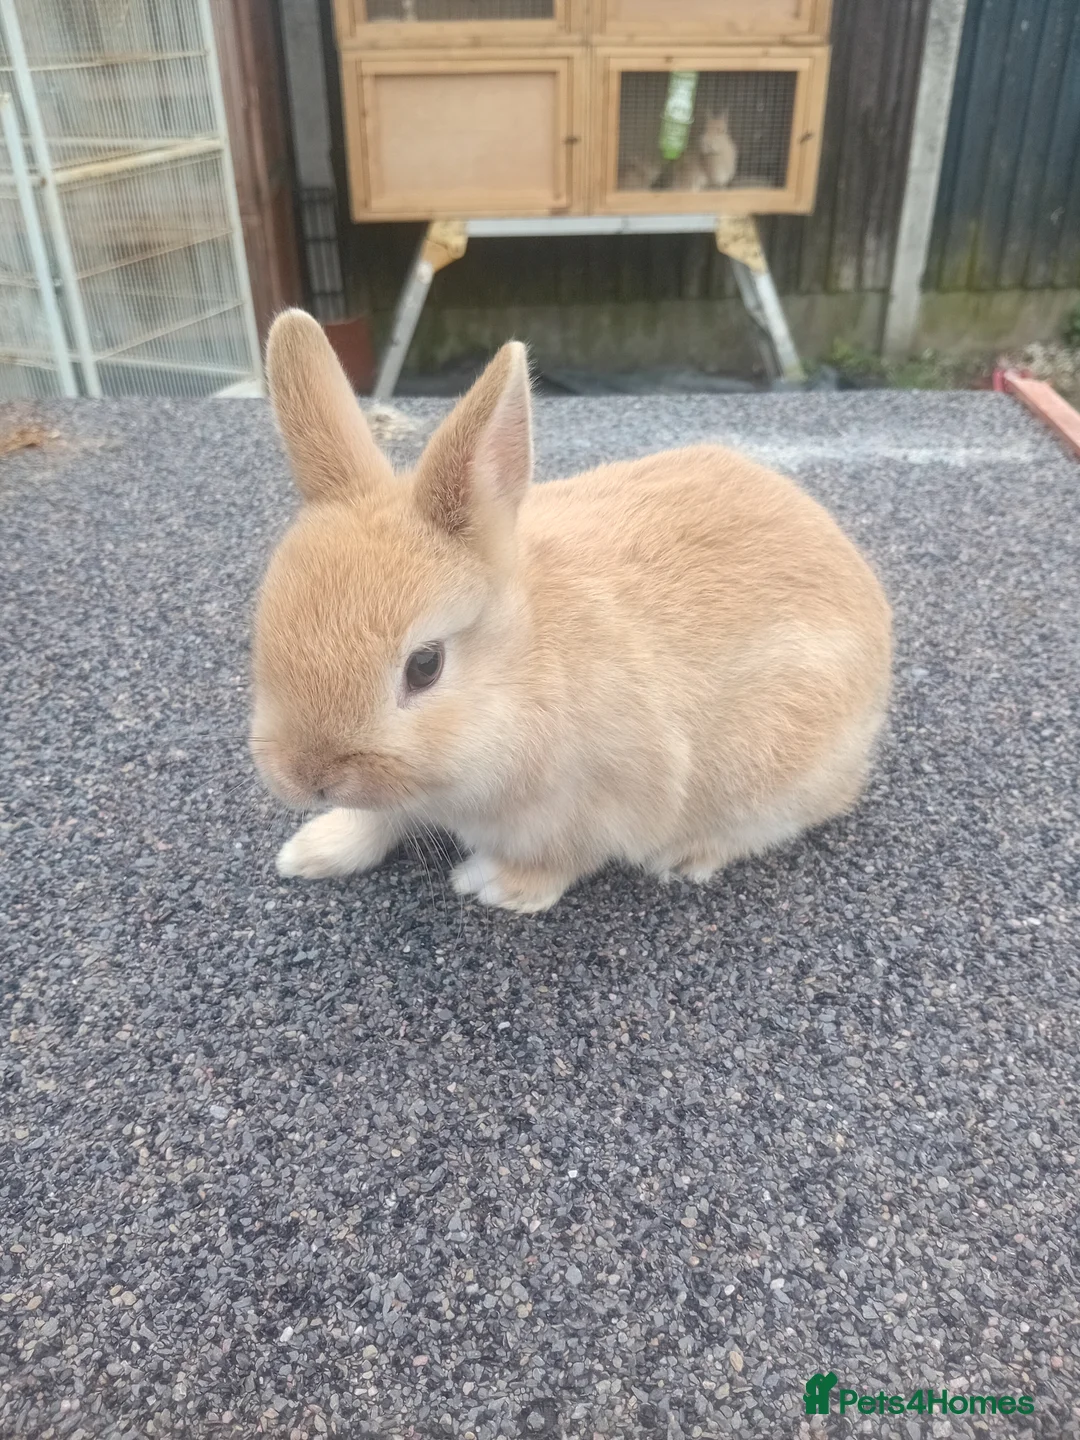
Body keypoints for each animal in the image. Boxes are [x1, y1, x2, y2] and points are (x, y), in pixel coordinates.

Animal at [250, 311, 892, 914]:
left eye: (425, 666)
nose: (307, 779)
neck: (527, 667)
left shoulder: (609, 801)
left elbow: (564, 860)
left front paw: (496, 884)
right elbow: (379, 818)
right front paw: (313, 850)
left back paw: (688, 856)